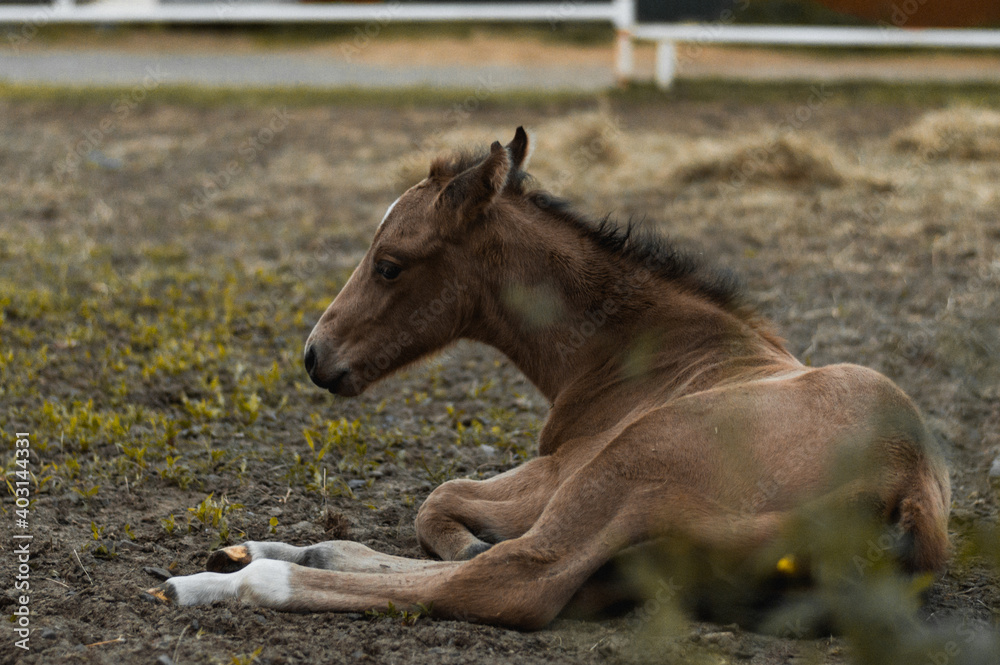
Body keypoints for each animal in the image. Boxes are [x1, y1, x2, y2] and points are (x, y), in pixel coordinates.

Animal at [146, 127, 950, 630]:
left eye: (391, 264)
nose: (317, 355)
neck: (640, 351)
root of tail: (904, 483)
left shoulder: (558, 470)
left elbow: (440, 502)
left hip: (631, 462)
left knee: (508, 579)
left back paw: (219, 584)